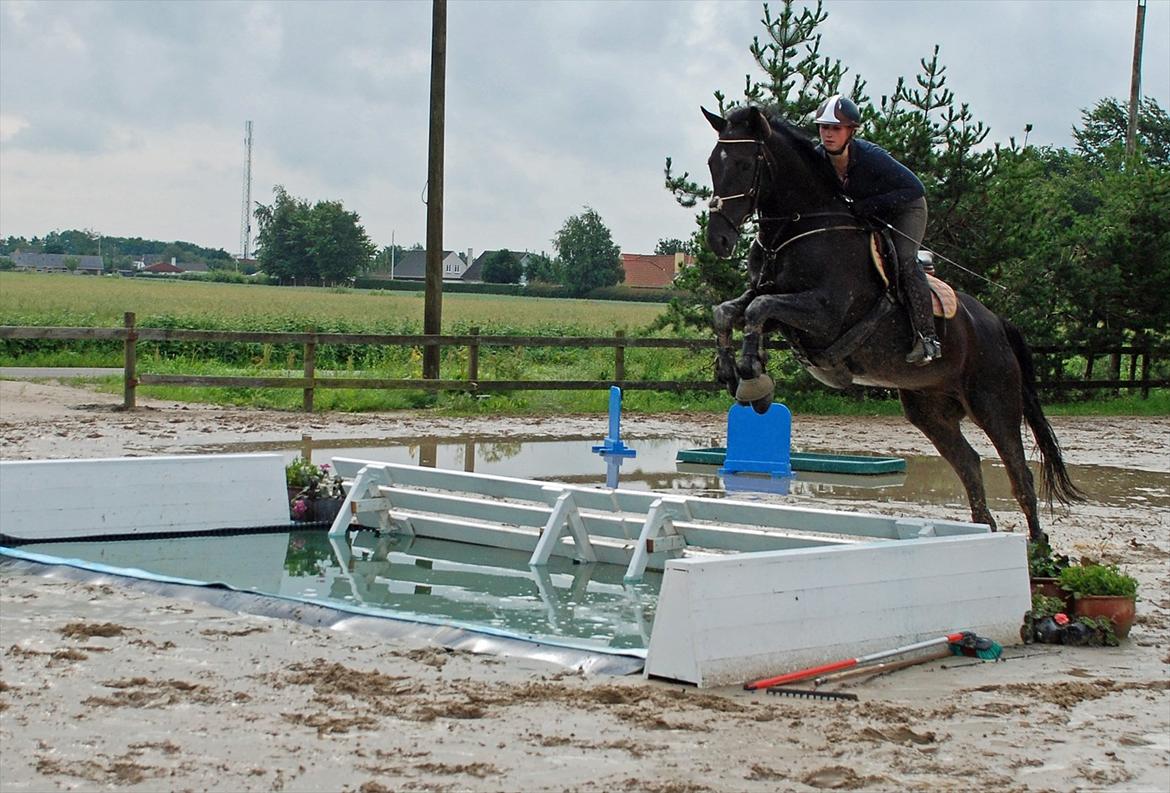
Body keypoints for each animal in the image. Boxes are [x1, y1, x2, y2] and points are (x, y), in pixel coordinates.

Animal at [697, 104, 1081, 540]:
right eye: (712, 163)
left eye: (744, 164)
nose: (718, 240)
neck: (801, 226)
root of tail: (997, 324)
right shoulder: (779, 303)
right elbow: (731, 311)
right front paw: (735, 373)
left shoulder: (824, 313)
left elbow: (758, 309)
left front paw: (752, 378)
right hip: (929, 409)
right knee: (968, 462)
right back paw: (983, 529)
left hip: (993, 402)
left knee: (1019, 472)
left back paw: (1038, 547)